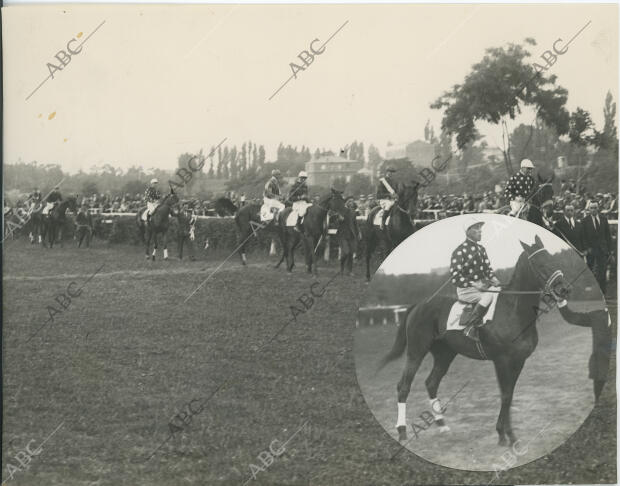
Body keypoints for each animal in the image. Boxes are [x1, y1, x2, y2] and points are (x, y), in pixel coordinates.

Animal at [376, 236, 568, 448]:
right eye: (540, 264)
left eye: (552, 258)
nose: (564, 289)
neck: (514, 310)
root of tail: (419, 305)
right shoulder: (502, 361)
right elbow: (505, 394)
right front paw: (505, 435)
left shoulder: (519, 361)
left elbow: (509, 394)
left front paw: (507, 434)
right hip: (416, 352)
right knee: (403, 386)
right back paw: (402, 431)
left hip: (444, 354)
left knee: (431, 383)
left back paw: (442, 424)